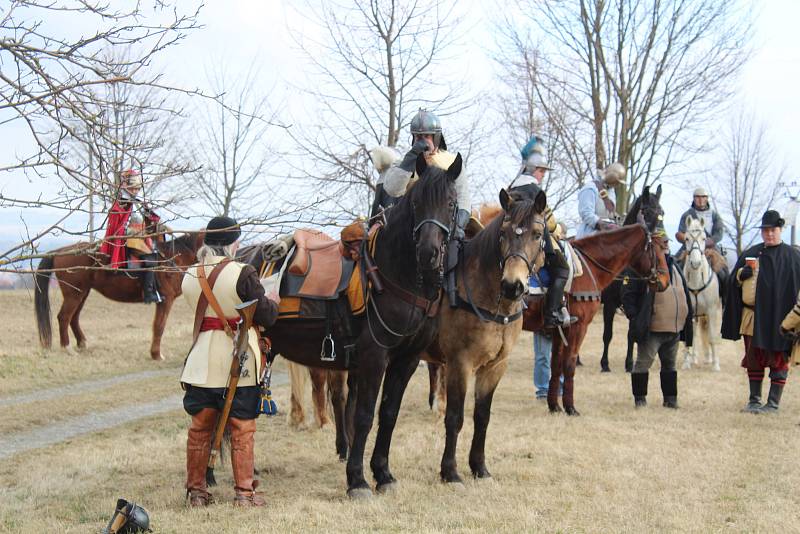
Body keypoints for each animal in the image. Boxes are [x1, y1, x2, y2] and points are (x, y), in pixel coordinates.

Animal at [34, 233, 205, 362]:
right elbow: (159, 326)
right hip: (74, 295)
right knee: (64, 317)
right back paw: (67, 348)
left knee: (73, 318)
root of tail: (61, 251)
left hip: (82, 293)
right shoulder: (166, 300)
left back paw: (82, 344)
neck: (173, 258)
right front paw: (156, 355)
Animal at [680, 215, 724, 372]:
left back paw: (709, 359)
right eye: (687, 238)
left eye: (704, 238)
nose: (696, 263)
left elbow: (712, 337)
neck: (697, 281)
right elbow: (690, 337)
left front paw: (716, 365)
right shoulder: (689, 312)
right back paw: (694, 359)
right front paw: (686, 363)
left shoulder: (712, 311)